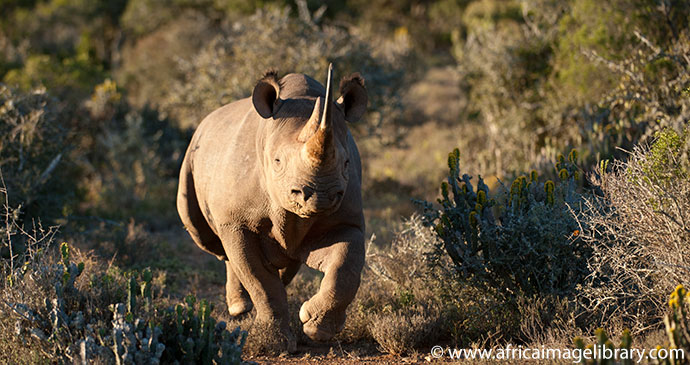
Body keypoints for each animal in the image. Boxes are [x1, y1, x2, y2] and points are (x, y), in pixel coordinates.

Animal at [177, 64, 368, 350]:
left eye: (346, 163)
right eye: (277, 162)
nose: (320, 195)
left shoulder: (346, 219)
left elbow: (346, 267)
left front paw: (317, 329)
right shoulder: (236, 222)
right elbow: (259, 280)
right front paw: (275, 343)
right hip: (192, 156)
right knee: (209, 239)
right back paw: (238, 309)